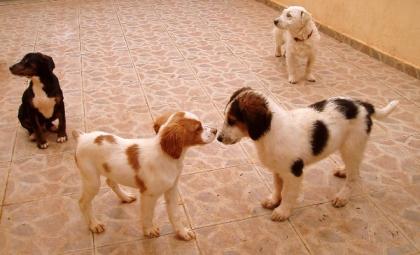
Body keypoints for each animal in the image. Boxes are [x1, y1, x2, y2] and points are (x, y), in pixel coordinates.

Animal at [72, 112, 217, 241]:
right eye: (198, 128)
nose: (216, 130)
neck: (167, 157)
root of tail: (81, 137)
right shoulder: (149, 195)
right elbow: (148, 215)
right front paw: (149, 230)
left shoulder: (172, 190)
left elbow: (174, 214)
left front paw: (182, 232)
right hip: (92, 180)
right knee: (82, 202)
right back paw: (94, 224)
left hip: (109, 171)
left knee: (110, 182)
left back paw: (125, 197)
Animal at [218, 87, 398, 221]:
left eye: (232, 121)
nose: (218, 138)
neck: (270, 133)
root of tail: (362, 105)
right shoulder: (278, 169)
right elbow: (278, 187)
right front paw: (273, 201)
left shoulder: (293, 172)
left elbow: (288, 193)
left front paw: (282, 211)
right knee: (353, 168)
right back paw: (343, 170)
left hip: (352, 146)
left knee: (354, 177)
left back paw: (342, 197)